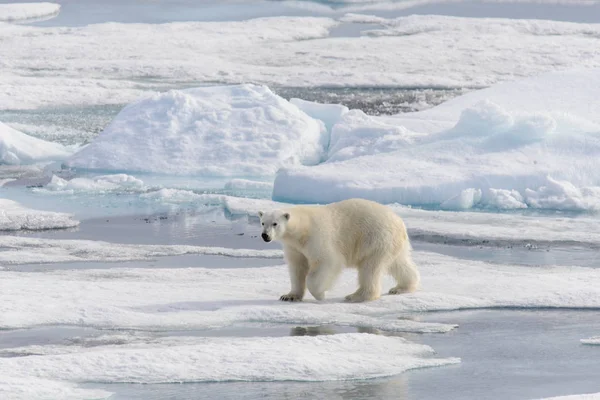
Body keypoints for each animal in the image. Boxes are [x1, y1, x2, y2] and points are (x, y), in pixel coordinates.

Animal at [256, 198, 418, 302]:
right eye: (263, 222)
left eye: (275, 223)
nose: (265, 235)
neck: (302, 229)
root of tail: (400, 223)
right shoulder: (294, 247)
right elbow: (297, 267)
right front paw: (289, 296)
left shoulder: (317, 237)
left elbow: (327, 261)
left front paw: (320, 295)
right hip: (392, 244)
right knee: (398, 263)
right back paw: (401, 287)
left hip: (375, 238)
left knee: (370, 268)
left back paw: (356, 296)